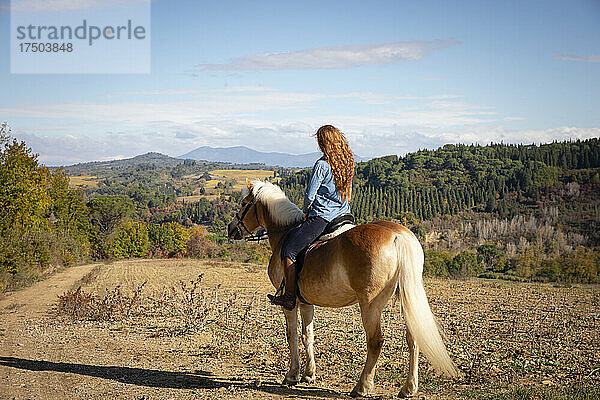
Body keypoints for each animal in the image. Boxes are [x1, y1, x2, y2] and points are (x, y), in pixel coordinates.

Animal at [226, 180, 460, 396]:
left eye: (244, 203)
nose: (231, 228)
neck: (284, 234)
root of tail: (398, 236)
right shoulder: (306, 303)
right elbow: (307, 335)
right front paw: (309, 374)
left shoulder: (289, 303)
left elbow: (291, 335)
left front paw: (292, 375)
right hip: (406, 299)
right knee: (413, 339)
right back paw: (408, 388)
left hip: (370, 306)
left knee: (375, 342)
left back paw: (361, 387)